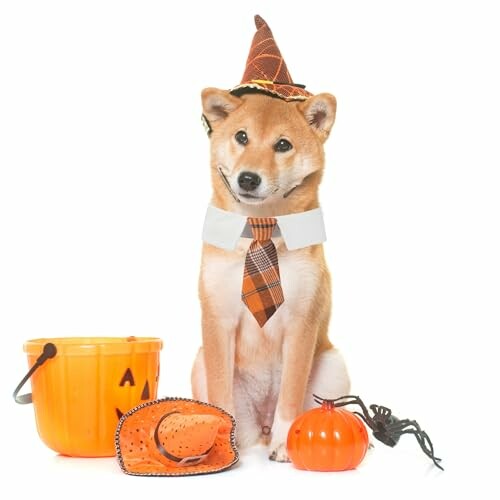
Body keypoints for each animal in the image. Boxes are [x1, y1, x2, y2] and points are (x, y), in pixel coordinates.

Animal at [189, 14, 350, 460]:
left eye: (283, 145)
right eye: (241, 137)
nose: (248, 178)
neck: (261, 232)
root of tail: (256, 425)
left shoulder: (302, 321)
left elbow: (292, 392)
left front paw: (284, 441)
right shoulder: (218, 320)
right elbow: (221, 391)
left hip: (334, 366)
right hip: (199, 361)